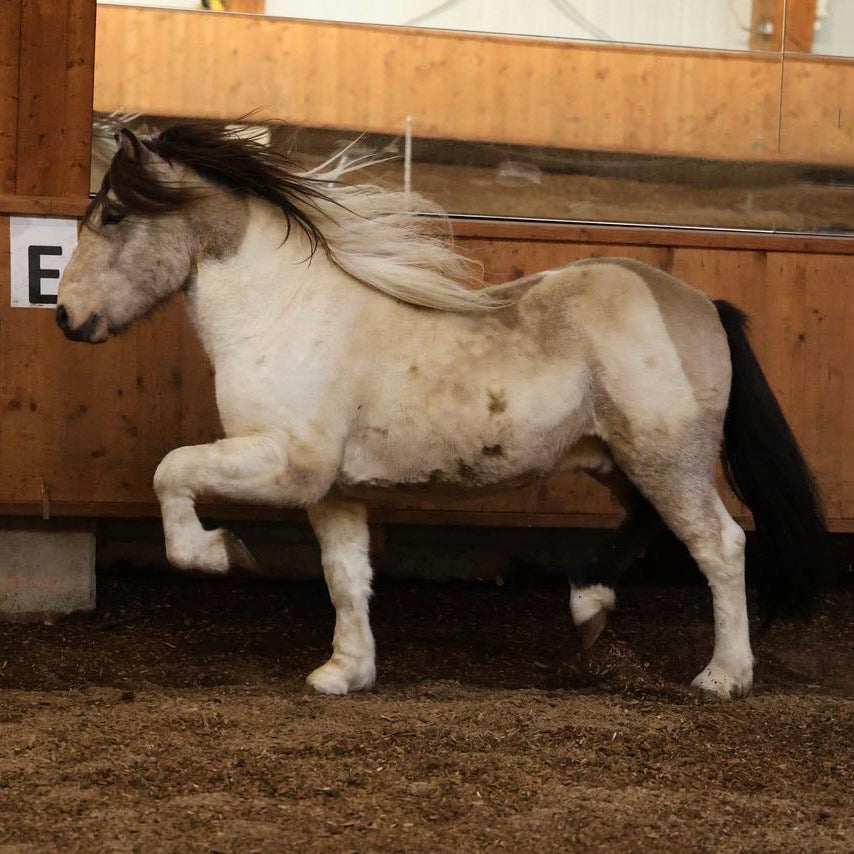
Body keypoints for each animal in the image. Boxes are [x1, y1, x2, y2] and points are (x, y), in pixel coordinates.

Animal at [56, 123, 826, 699]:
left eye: (115, 215)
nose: (66, 316)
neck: (281, 312)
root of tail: (703, 304)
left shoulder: (288, 463)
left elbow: (171, 474)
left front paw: (223, 554)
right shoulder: (332, 490)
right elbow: (346, 575)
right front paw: (345, 673)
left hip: (666, 458)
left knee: (720, 545)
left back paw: (723, 677)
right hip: (620, 458)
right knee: (651, 527)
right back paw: (588, 608)